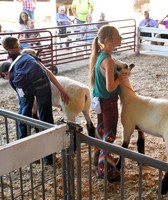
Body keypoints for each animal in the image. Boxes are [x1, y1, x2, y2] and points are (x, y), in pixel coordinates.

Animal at [116, 61, 168, 195]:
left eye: (123, 66)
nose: (115, 62)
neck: (128, 98)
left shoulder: (127, 127)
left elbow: (124, 147)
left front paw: (118, 166)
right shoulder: (140, 128)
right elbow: (140, 144)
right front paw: (141, 162)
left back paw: (161, 190)